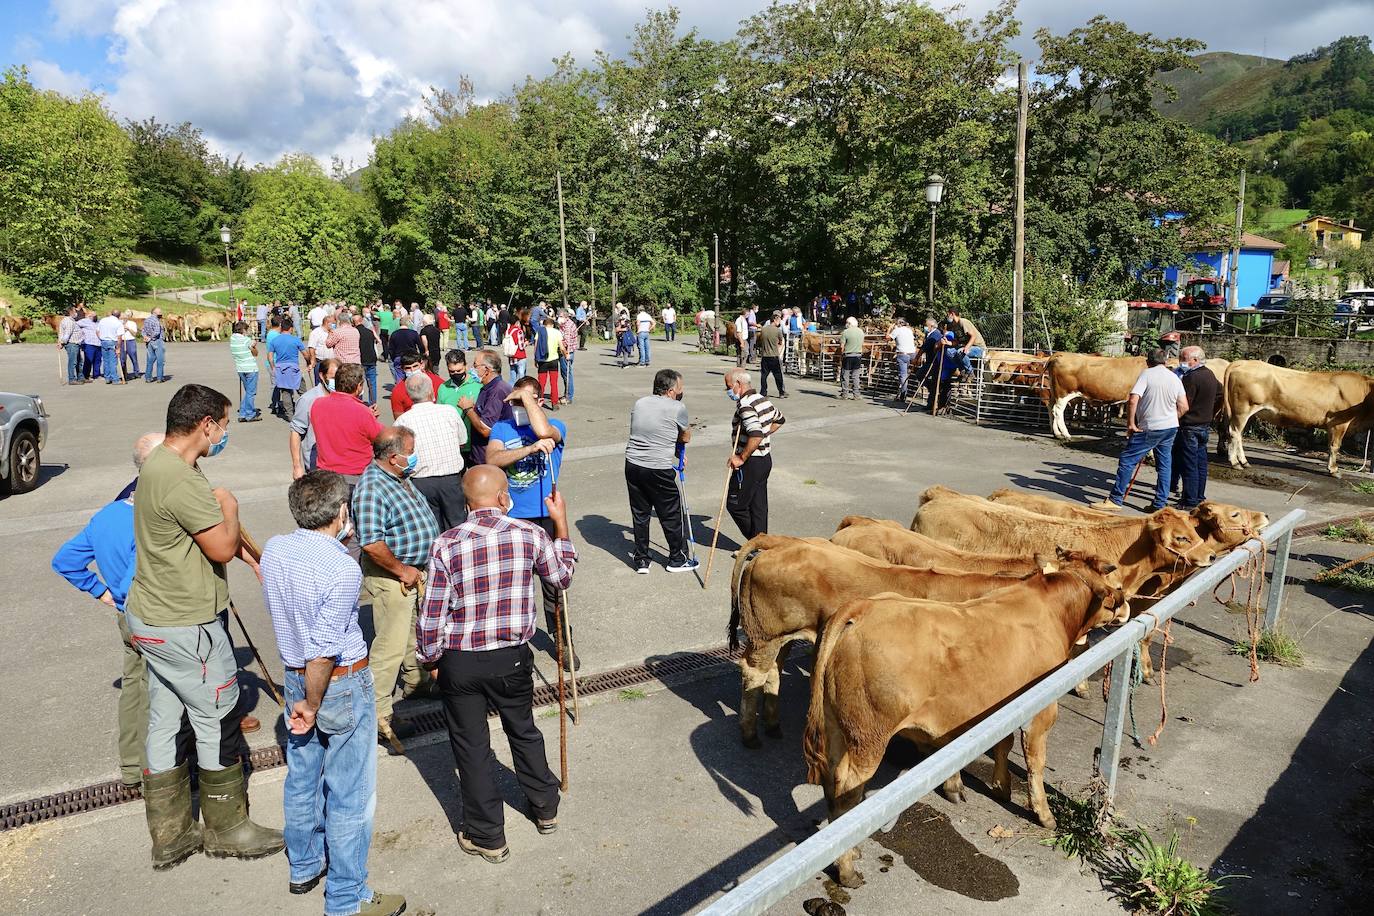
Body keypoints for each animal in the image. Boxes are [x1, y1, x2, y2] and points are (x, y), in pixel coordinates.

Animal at [730, 532, 1093, 747]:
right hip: (764, 634)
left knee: (773, 671)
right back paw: (750, 734)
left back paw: (773, 723)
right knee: (753, 672)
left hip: (781, 635)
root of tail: (776, 542)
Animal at [802, 560, 1126, 889]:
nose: (1126, 608)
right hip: (868, 738)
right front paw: (1044, 814)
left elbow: (1003, 744)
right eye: (1117, 587)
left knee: (832, 784)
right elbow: (1036, 763)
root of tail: (862, 606)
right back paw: (847, 869)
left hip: (837, 728)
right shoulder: (1041, 712)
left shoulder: (1001, 705)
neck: (1053, 611)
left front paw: (1000, 786)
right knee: (847, 792)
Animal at [1225, 357, 1374, 477]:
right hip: (1243, 409)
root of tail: (1243, 362)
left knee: (1238, 434)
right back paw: (1235, 462)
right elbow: (1334, 446)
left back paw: (1244, 462)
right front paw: (1333, 470)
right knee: (1234, 432)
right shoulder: (1338, 424)